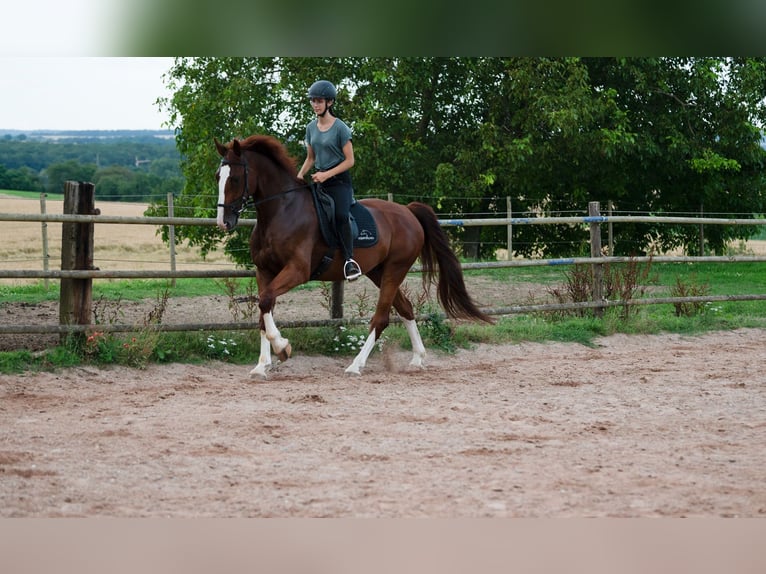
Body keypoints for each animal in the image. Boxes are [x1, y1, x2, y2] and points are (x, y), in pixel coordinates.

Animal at [214, 134, 492, 378]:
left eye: (235, 179)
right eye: (218, 176)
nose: (223, 222)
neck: (282, 211)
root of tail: (408, 211)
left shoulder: (297, 270)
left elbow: (265, 302)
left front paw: (283, 348)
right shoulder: (264, 271)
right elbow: (264, 310)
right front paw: (262, 366)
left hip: (395, 269)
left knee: (381, 319)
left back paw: (355, 366)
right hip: (378, 271)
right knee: (406, 308)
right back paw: (417, 359)